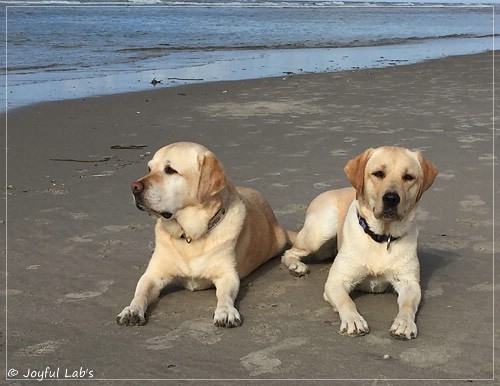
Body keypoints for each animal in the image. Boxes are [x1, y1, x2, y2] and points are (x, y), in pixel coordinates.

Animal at [115, 143, 292, 328]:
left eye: (170, 170)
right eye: (149, 169)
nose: (134, 187)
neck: (189, 235)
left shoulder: (227, 274)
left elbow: (225, 295)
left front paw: (225, 311)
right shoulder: (154, 275)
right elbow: (140, 292)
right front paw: (131, 309)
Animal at [282, 146, 438, 340]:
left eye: (408, 177)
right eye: (378, 173)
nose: (391, 198)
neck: (381, 238)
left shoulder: (409, 283)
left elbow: (408, 305)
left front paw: (404, 323)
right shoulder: (336, 281)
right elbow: (347, 301)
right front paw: (353, 321)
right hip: (321, 230)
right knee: (289, 252)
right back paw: (296, 266)